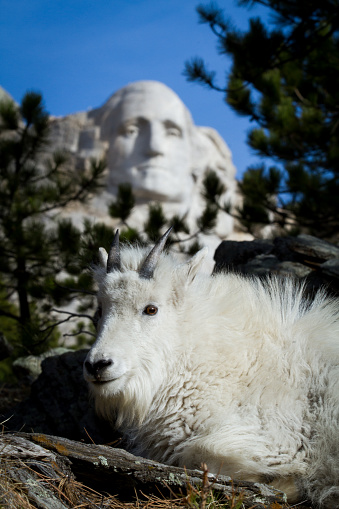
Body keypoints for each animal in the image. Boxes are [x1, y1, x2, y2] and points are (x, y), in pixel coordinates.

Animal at [83, 228, 339, 506]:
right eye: (100, 309)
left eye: (151, 308)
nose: (97, 365)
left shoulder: (281, 442)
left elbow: (202, 455)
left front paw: (285, 484)